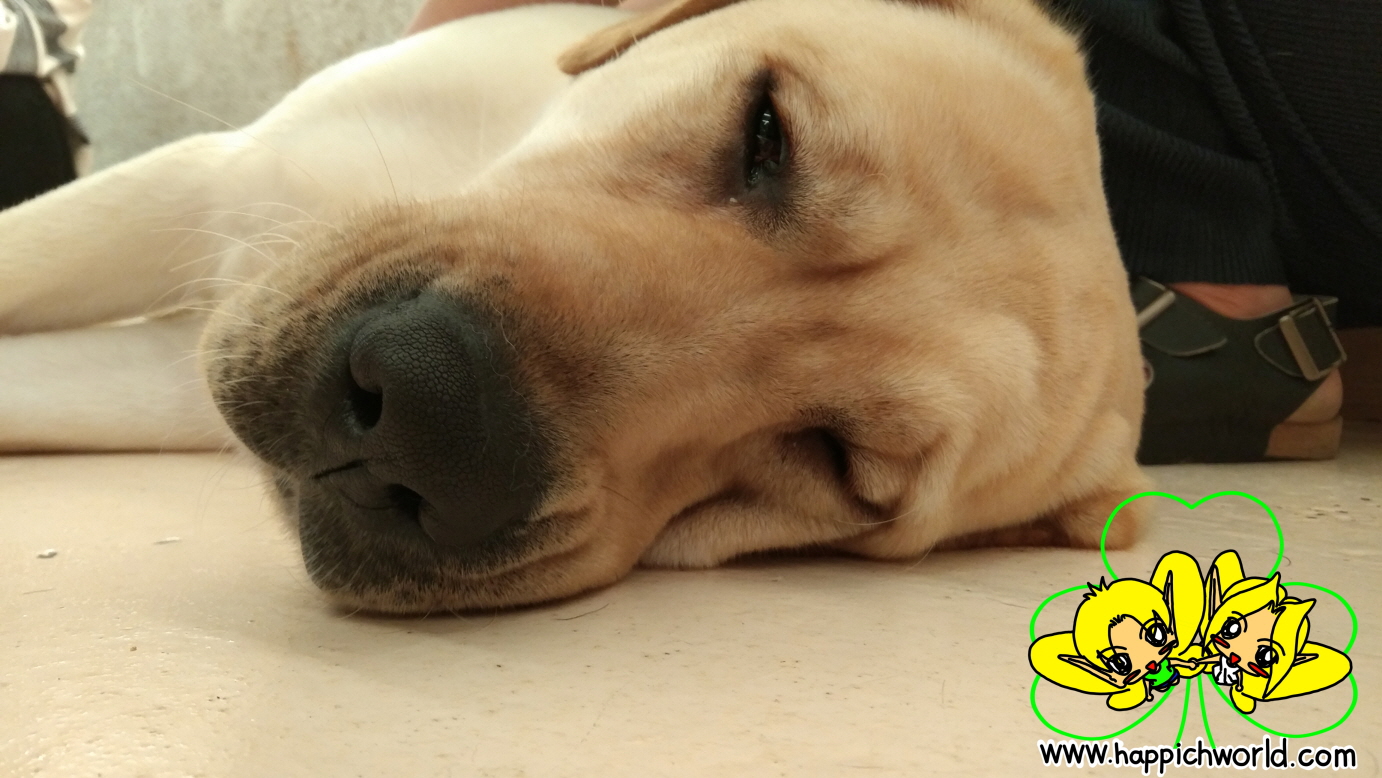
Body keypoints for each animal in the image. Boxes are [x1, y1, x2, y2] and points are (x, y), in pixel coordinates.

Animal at [0, 0, 1149, 612]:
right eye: (765, 132)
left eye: (840, 466)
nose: (428, 427)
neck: (463, 168)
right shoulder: (202, 179)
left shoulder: (157, 378)